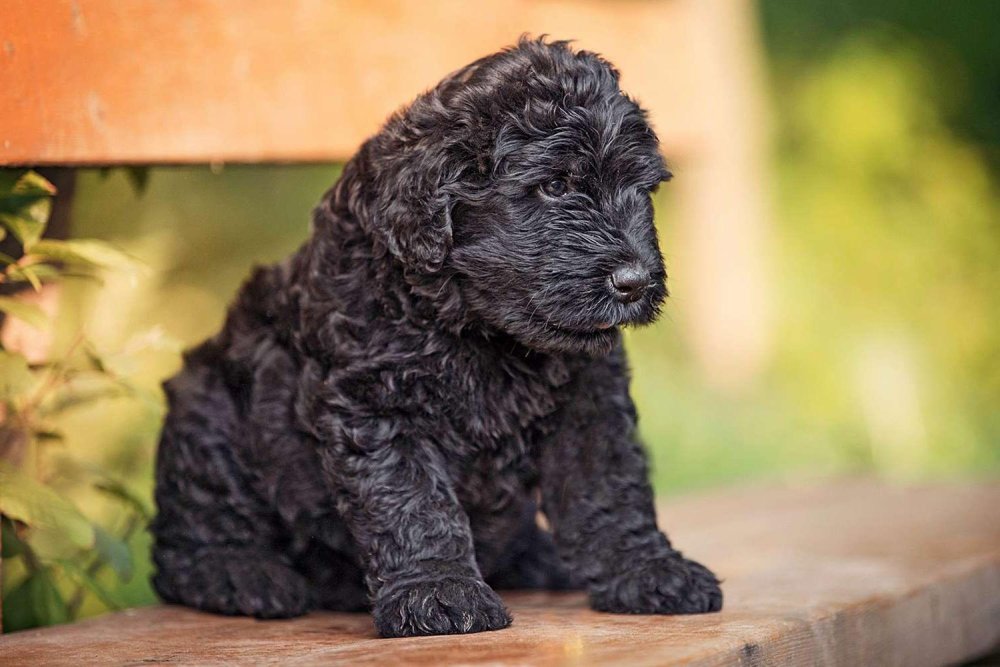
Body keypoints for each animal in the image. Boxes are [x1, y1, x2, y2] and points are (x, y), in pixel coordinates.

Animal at [152, 37, 724, 640]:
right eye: (554, 186)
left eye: (642, 189)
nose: (635, 282)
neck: (482, 332)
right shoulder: (376, 402)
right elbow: (413, 501)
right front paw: (439, 592)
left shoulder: (588, 400)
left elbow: (611, 486)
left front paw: (650, 570)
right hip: (208, 411)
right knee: (189, 539)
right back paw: (242, 574)